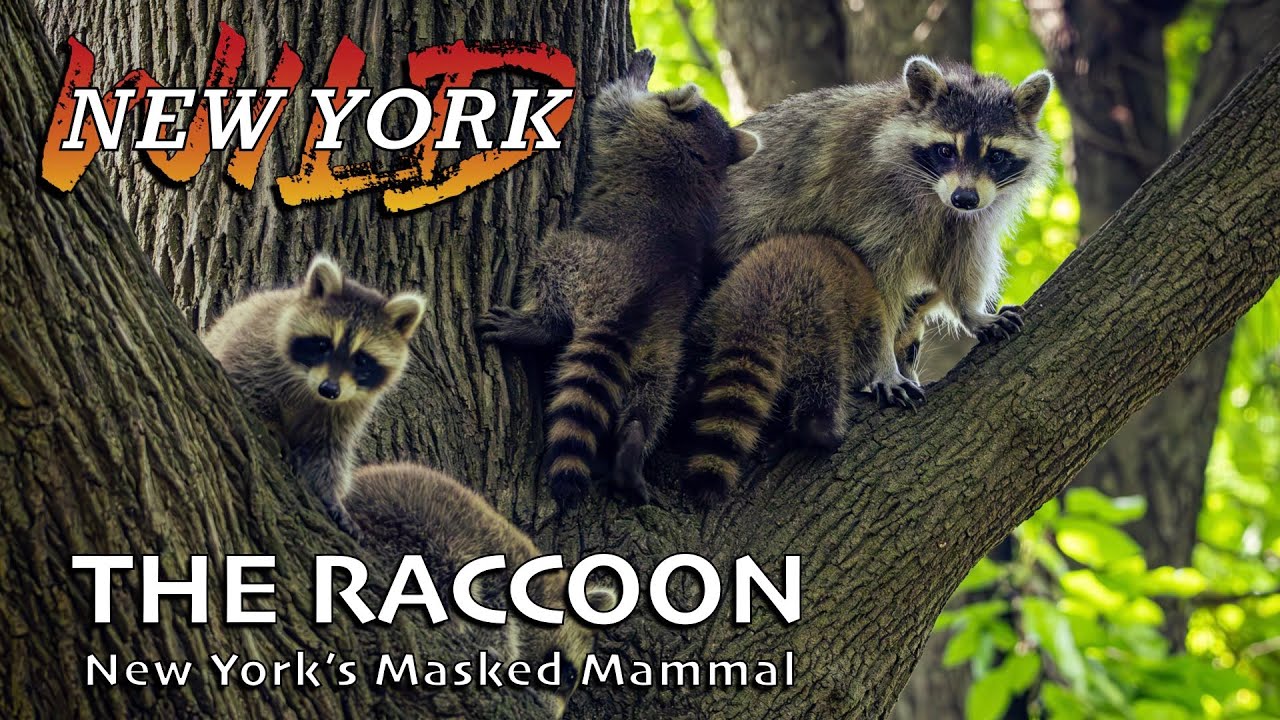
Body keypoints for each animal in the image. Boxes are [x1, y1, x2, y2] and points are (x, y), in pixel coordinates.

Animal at [201, 257, 426, 537]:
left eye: (361, 360)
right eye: (323, 345)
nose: (329, 390)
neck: (310, 389)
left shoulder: (351, 406)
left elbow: (330, 447)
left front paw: (329, 493)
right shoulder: (256, 344)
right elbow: (245, 382)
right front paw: (272, 424)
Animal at [478, 49, 758, 506]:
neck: (704, 151)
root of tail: (640, 296)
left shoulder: (633, 123)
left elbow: (609, 104)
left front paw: (637, 73)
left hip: (584, 260)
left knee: (549, 263)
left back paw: (537, 324)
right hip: (661, 347)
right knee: (651, 398)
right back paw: (633, 444)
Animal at [683, 234, 937, 498]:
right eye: (913, 351)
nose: (916, 381)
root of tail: (762, 305)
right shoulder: (870, 321)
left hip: (713, 312)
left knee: (693, 366)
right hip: (817, 326)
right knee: (822, 388)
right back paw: (821, 433)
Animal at [718, 56, 1054, 349]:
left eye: (995, 156)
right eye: (946, 150)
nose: (965, 199)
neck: (936, 195)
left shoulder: (975, 213)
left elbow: (964, 256)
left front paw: (969, 310)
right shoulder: (873, 196)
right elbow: (878, 278)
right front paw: (884, 362)